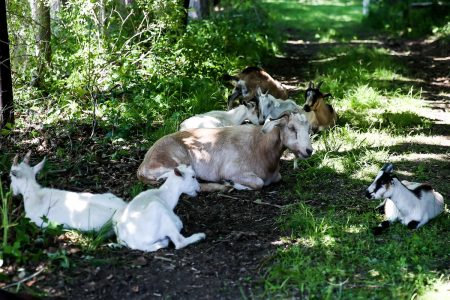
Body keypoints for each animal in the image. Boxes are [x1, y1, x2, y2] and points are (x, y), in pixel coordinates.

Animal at [137, 111, 312, 191]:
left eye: (309, 129)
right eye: (292, 128)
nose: (309, 150)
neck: (260, 146)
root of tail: (143, 165)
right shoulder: (234, 170)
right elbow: (258, 183)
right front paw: (234, 184)